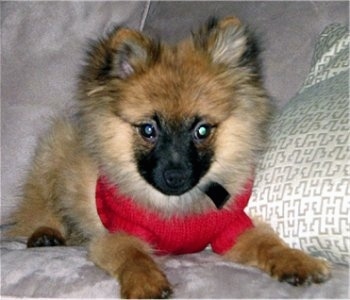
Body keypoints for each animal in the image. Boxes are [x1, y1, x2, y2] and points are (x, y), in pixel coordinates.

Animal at [8, 17, 330, 300]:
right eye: (148, 130)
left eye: (202, 130)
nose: (175, 176)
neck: (176, 207)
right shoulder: (118, 234)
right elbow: (133, 255)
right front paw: (146, 282)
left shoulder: (232, 231)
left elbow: (268, 244)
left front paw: (296, 261)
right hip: (54, 153)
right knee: (38, 210)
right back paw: (46, 234)